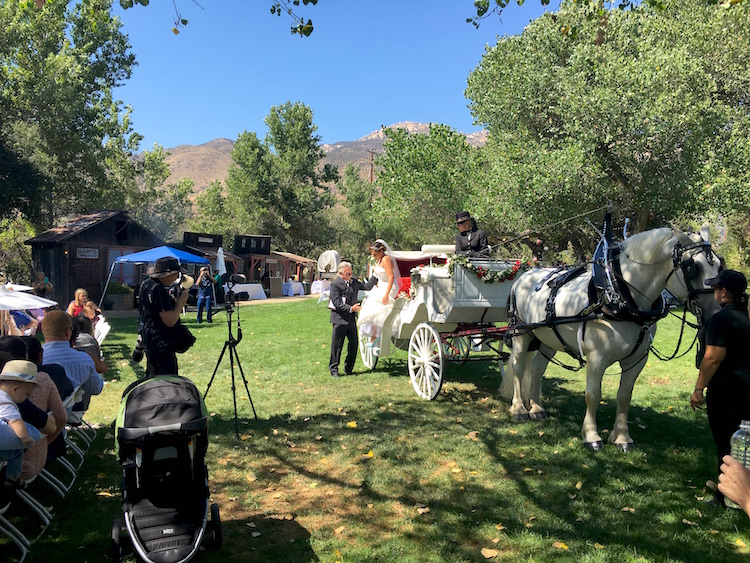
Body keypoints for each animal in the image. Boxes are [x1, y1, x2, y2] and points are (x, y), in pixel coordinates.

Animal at [500, 227, 724, 452]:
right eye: (692, 267)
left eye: (719, 263)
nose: (716, 312)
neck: (621, 296)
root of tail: (523, 276)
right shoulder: (596, 358)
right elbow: (593, 395)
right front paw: (591, 436)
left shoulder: (637, 360)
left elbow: (624, 396)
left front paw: (622, 438)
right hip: (521, 334)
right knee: (519, 367)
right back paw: (519, 409)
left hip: (548, 339)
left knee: (536, 369)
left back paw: (536, 408)